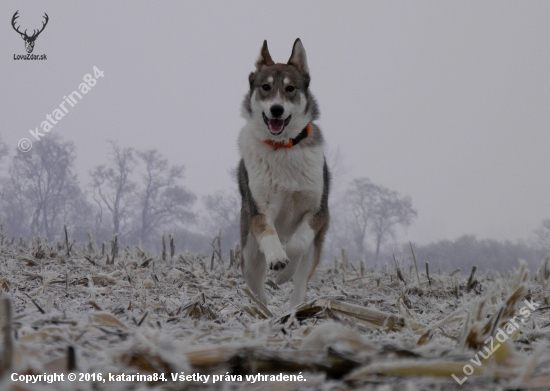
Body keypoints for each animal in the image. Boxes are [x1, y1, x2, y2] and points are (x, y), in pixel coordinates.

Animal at [238, 39, 332, 310]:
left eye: (290, 88)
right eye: (265, 87)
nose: (277, 109)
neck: (283, 148)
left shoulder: (318, 212)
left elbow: (298, 243)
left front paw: (284, 270)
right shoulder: (260, 211)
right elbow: (269, 234)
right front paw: (278, 258)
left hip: (315, 249)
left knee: (300, 284)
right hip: (249, 255)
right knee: (257, 288)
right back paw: (264, 312)